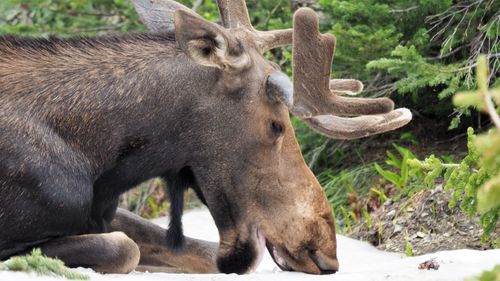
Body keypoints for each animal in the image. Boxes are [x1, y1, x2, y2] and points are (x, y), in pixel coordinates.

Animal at [0, 0, 410, 276]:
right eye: (276, 125)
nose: (324, 252)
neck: (98, 162)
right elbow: (124, 249)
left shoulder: (107, 212)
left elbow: (201, 253)